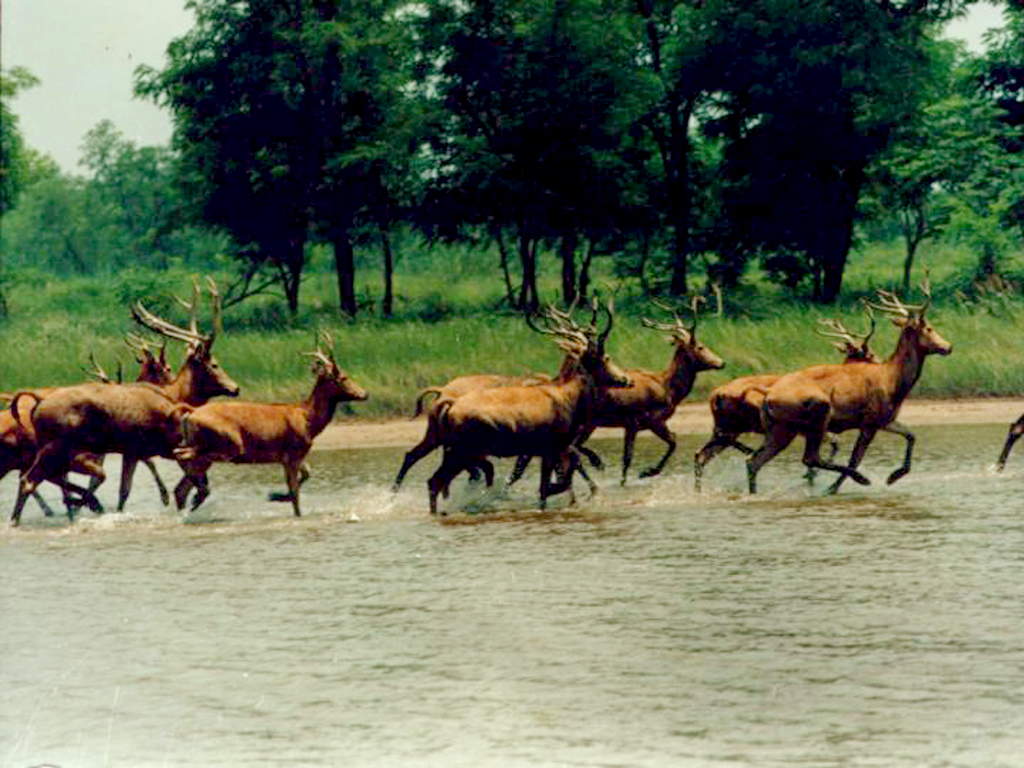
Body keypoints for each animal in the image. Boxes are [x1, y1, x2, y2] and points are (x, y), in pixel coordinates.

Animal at [10, 280, 237, 528]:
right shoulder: (167, 447)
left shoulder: (133, 451)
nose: (235, 388)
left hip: (56, 449)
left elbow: (125, 491)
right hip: (57, 446)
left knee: (39, 478)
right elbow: (194, 488)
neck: (177, 398)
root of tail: (37, 404)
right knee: (31, 480)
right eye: (214, 364)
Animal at [171, 331, 368, 518]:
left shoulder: (292, 456)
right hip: (228, 443)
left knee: (181, 484)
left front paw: (276, 496)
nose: (364, 393)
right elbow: (295, 494)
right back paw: (197, 497)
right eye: (343, 377)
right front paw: (284, 502)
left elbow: (306, 475)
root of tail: (190, 414)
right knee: (181, 456)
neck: (309, 421)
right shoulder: (293, 453)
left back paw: (192, 503)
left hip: (205, 449)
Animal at [419, 301, 626, 518]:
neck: (570, 397)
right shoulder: (554, 447)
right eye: (606, 357)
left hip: (456, 451)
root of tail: (448, 406)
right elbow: (554, 483)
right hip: (463, 451)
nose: (624, 379)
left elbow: (547, 487)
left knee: (437, 480)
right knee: (437, 481)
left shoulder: (546, 450)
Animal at [692, 305, 884, 489]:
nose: (881, 363)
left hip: (726, 427)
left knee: (701, 455)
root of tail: (714, 396)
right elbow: (831, 447)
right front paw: (811, 476)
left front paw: (811, 476)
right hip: (749, 427)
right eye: (870, 353)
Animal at [745, 280, 950, 493]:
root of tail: (767, 394)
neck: (894, 382)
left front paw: (893, 476)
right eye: (929, 328)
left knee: (754, 461)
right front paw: (838, 487)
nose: (948, 347)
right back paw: (858, 479)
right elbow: (855, 459)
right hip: (817, 415)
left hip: (779, 427)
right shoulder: (870, 421)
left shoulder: (885, 419)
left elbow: (911, 435)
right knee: (809, 458)